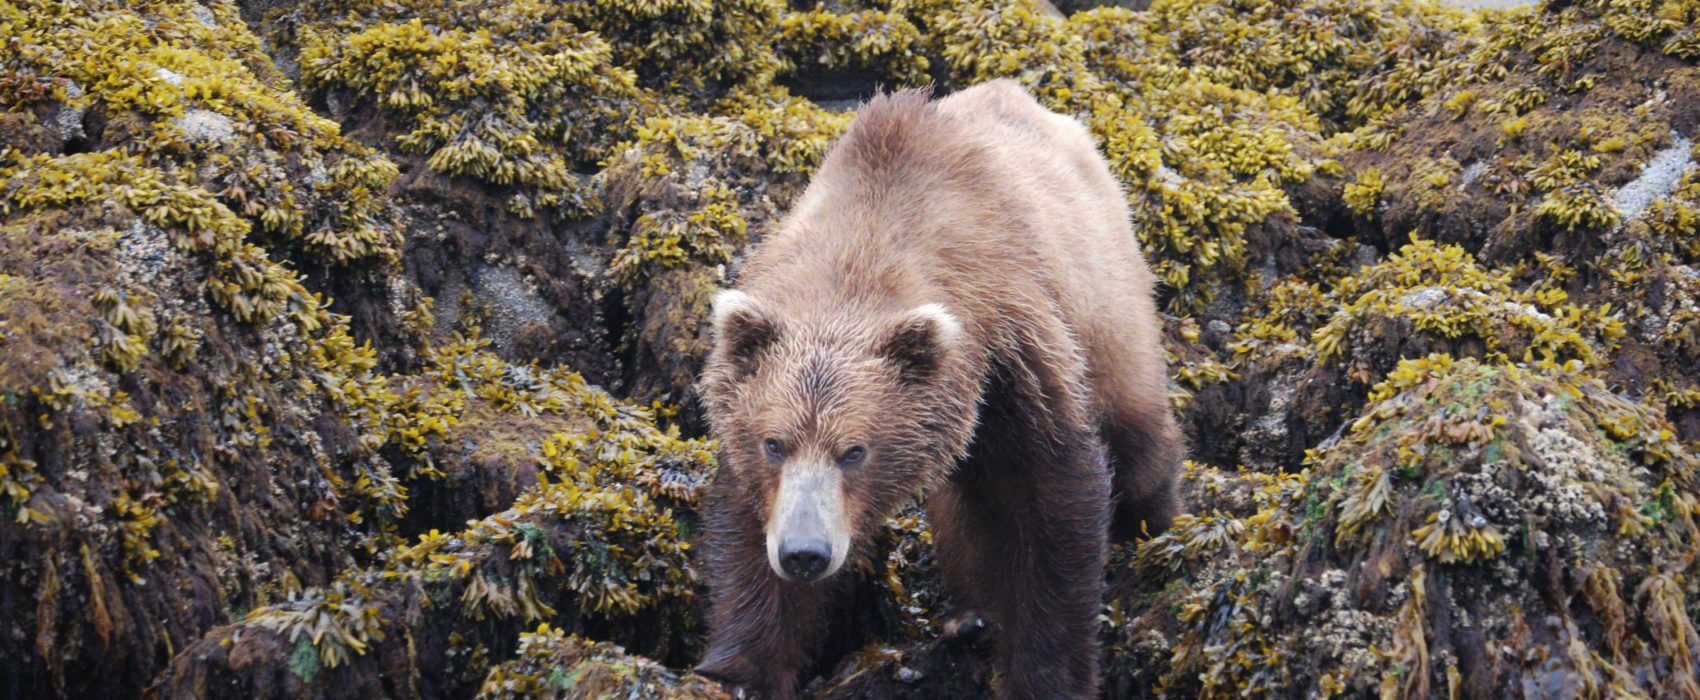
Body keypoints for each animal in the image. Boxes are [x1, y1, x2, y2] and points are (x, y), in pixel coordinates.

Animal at [693, 80, 1184, 699]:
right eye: (774, 443)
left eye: (855, 451)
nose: (806, 552)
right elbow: (748, 535)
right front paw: (741, 668)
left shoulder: (1012, 351)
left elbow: (1054, 497)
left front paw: (1046, 674)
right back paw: (968, 613)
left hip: (1106, 299)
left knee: (1134, 431)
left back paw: (1154, 524)